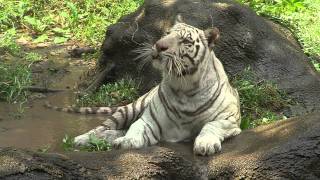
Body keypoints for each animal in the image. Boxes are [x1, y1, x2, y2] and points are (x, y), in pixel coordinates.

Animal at [48, 19, 240, 155]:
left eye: (185, 40)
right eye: (166, 33)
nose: (159, 46)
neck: (184, 86)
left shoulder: (229, 119)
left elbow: (211, 125)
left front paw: (205, 144)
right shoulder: (149, 121)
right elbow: (136, 128)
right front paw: (126, 142)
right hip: (130, 109)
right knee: (103, 127)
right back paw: (82, 139)